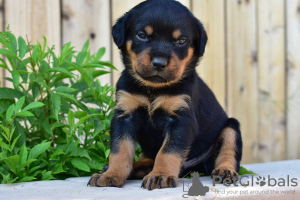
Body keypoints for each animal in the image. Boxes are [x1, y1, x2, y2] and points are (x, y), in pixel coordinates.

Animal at [88, 0, 243, 191]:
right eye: (142, 35)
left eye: (181, 40)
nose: (159, 63)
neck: (153, 89)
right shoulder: (124, 116)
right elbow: (120, 150)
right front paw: (111, 174)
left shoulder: (181, 120)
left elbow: (168, 151)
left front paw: (160, 175)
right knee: (147, 159)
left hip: (231, 126)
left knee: (228, 150)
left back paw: (225, 171)